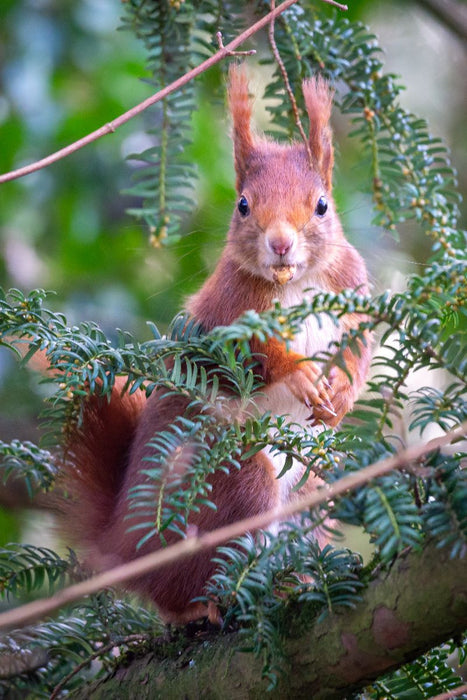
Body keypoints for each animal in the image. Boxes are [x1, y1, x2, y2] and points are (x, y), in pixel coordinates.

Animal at [59, 65, 372, 625]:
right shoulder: (226, 318)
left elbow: (361, 352)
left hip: (313, 492)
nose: (281, 243)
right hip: (235, 483)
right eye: (243, 205)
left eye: (322, 205)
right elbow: (250, 357)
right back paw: (215, 603)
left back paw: (300, 579)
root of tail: (128, 546)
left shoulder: (353, 298)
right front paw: (299, 374)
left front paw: (339, 393)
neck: (297, 283)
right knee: (188, 585)